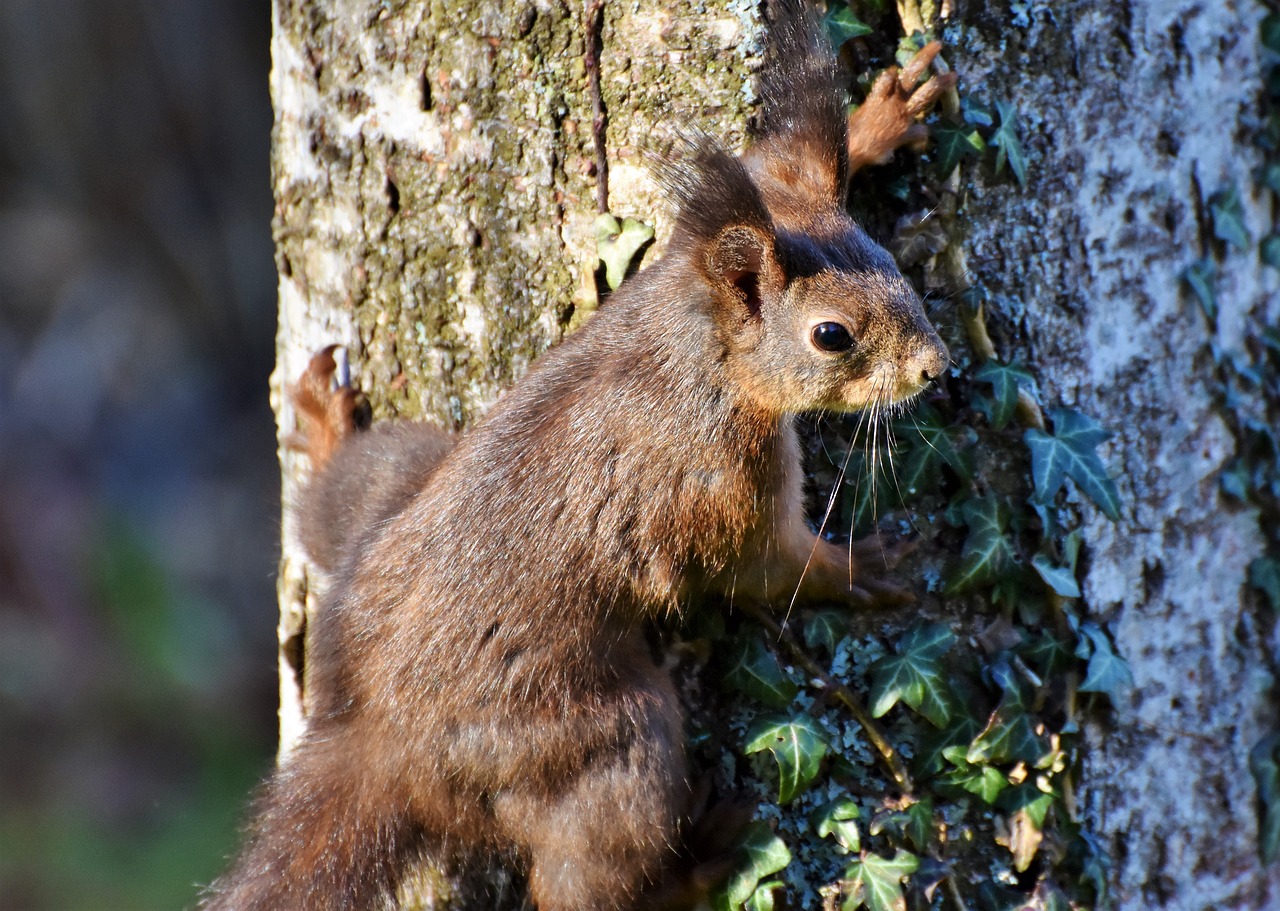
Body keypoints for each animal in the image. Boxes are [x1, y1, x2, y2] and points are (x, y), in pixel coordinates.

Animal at [207, 3, 952, 905]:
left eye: (890, 263)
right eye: (831, 336)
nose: (936, 365)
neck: (693, 340)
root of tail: (383, 738)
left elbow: (772, 167)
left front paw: (878, 121)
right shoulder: (721, 487)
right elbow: (770, 569)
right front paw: (866, 567)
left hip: (399, 477)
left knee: (332, 506)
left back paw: (322, 429)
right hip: (603, 736)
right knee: (589, 868)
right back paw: (698, 863)